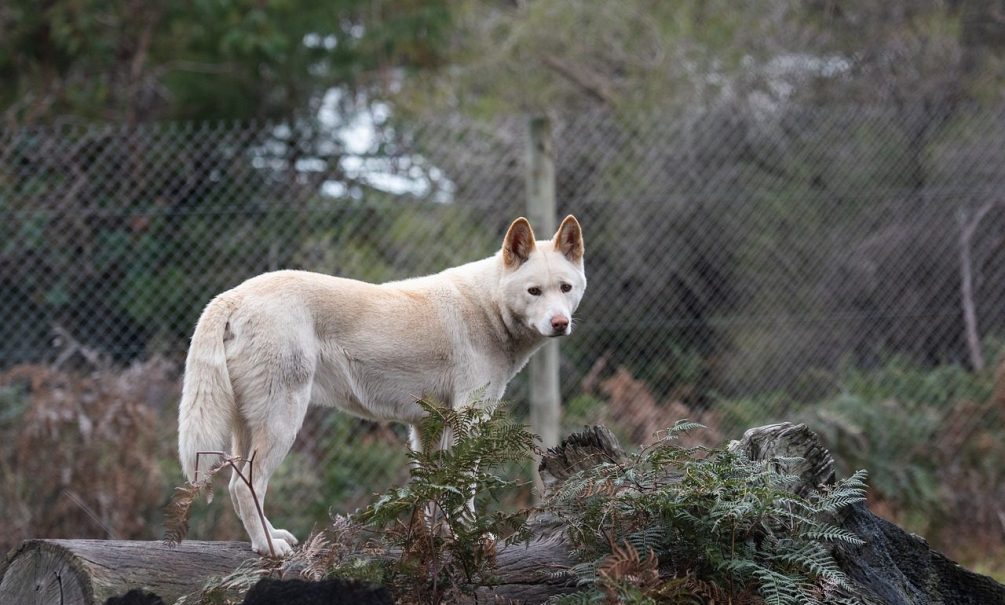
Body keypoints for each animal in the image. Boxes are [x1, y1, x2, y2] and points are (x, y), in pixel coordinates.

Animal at [178, 214, 586, 554]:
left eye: (565, 288)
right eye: (534, 291)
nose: (560, 323)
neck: (489, 307)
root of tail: (234, 295)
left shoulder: (429, 426)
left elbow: (435, 492)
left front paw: (437, 541)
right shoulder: (468, 421)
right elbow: (463, 488)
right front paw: (468, 537)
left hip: (248, 428)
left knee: (238, 487)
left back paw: (269, 537)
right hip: (283, 422)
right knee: (244, 485)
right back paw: (268, 547)